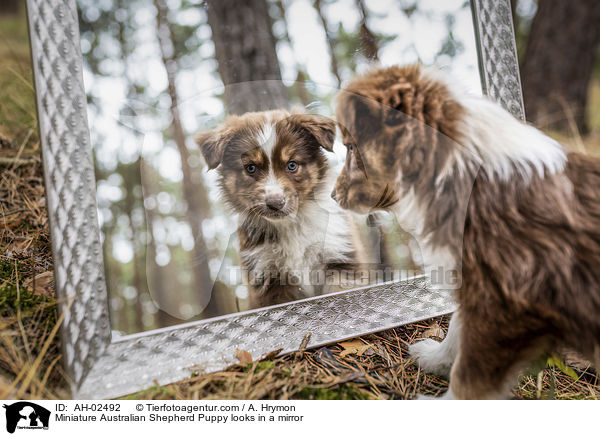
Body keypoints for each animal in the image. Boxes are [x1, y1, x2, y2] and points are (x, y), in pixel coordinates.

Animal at [196, 110, 356, 308]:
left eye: (292, 165)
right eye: (251, 168)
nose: (275, 203)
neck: (291, 224)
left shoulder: (339, 256)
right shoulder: (268, 276)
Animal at [330, 63, 600, 398]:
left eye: (351, 148)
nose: (332, 195)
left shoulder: (499, 310)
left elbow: (470, 377)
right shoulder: (471, 284)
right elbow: (455, 332)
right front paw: (433, 359)